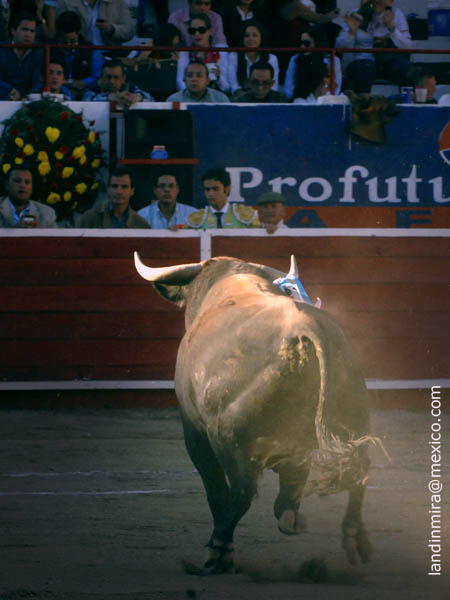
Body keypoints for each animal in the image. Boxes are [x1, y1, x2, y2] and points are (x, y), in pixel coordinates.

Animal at [134, 253, 376, 576]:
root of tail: (304, 328)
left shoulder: (195, 434)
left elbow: (216, 488)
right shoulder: (296, 453)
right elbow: (290, 487)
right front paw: (291, 517)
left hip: (231, 440)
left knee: (241, 491)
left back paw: (219, 551)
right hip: (352, 418)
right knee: (359, 469)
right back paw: (352, 538)